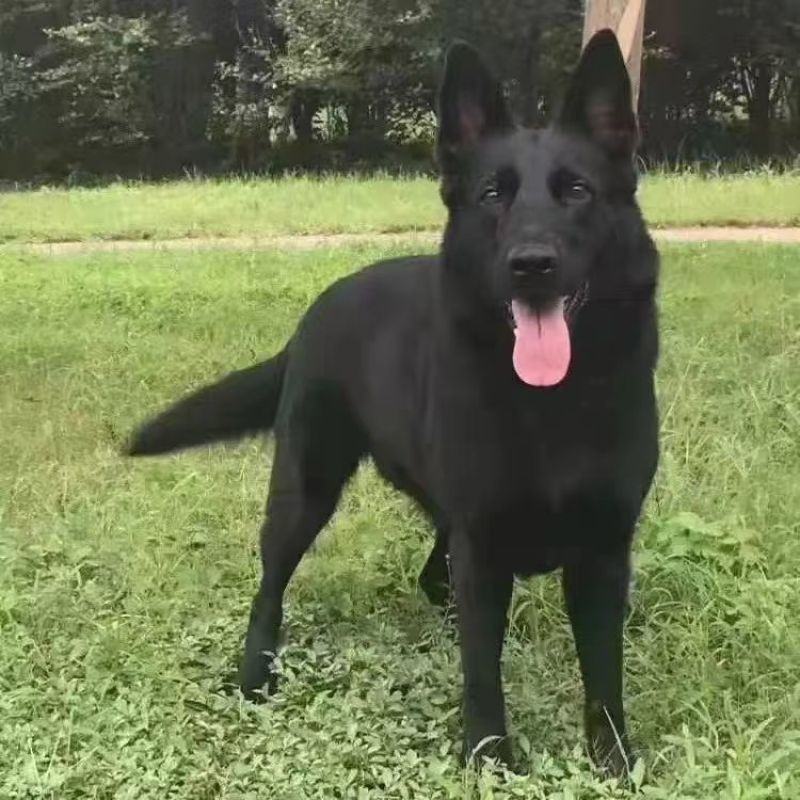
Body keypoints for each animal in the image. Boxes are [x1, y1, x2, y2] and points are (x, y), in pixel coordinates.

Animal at [128, 31, 660, 776]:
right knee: (271, 585)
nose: (532, 264)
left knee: (432, 577)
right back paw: (255, 672)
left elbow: (603, 672)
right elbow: (482, 670)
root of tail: (318, 308)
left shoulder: (603, 552)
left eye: (577, 191)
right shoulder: (482, 547)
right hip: (304, 490)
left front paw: (613, 760)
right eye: (493, 195)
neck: (549, 405)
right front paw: (490, 759)